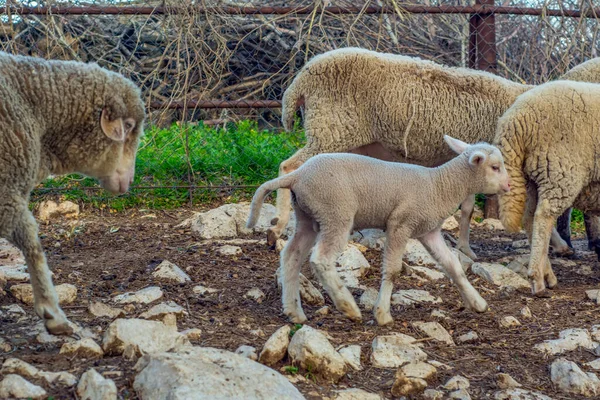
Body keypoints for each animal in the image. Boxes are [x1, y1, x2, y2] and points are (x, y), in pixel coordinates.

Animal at [246, 134, 508, 324]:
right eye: (495, 167)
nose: (507, 186)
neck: (440, 185)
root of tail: (298, 175)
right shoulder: (400, 224)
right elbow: (392, 270)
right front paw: (382, 314)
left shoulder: (429, 231)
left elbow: (453, 266)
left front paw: (478, 303)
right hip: (336, 213)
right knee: (321, 259)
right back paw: (348, 307)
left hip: (308, 217)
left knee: (291, 255)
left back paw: (294, 312)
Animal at [268, 47, 600, 260]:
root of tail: (300, 81)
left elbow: (468, 208)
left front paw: (466, 247)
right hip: (331, 130)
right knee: (288, 167)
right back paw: (278, 227)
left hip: (343, 139)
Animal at [494, 79, 600, 296]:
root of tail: (515, 118)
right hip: (559, 171)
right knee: (544, 217)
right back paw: (537, 279)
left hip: (531, 177)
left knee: (529, 219)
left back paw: (547, 276)